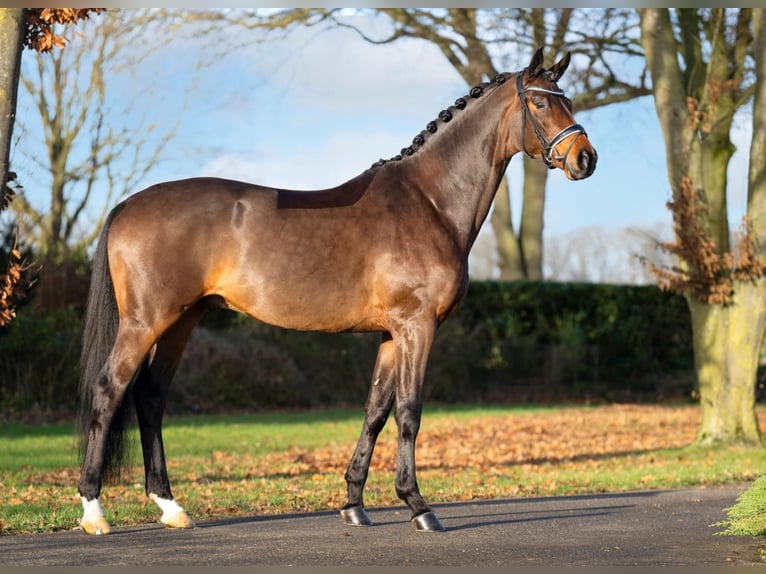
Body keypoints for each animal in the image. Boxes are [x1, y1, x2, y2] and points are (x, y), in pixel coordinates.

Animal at [75, 47, 596, 536]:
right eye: (540, 103)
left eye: (568, 100)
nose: (585, 159)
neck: (429, 202)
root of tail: (127, 204)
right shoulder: (417, 326)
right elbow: (409, 411)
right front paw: (418, 506)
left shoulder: (391, 334)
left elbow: (376, 411)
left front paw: (354, 504)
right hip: (146, 321)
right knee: (109, 389)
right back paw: (94, 510)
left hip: (182, 320)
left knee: (150, 397)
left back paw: (170, 507)